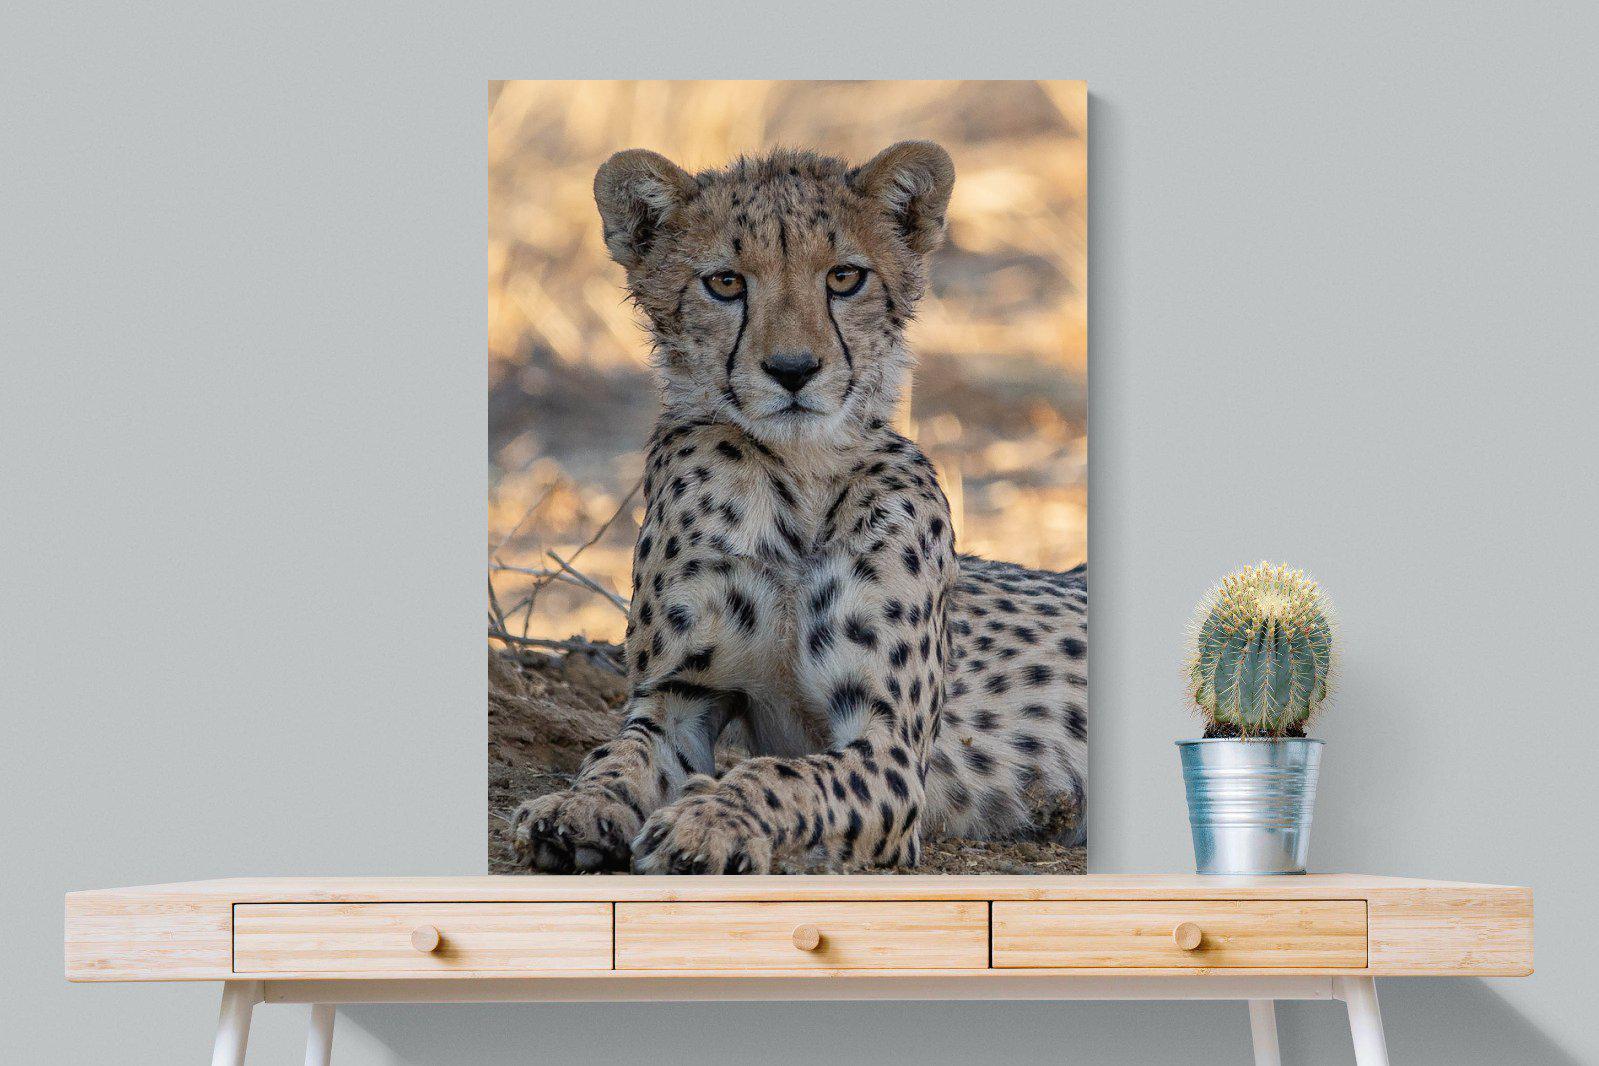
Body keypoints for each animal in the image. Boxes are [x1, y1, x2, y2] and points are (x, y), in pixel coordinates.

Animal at [510, 141, 1087, 875]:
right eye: (725, 283)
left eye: (844, 277)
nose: (792, 370)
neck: (798, 479)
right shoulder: (677, 698)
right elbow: (620, 754)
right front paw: (578, 806)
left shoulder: (890, 747)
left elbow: (782, 776)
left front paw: (709, 819)